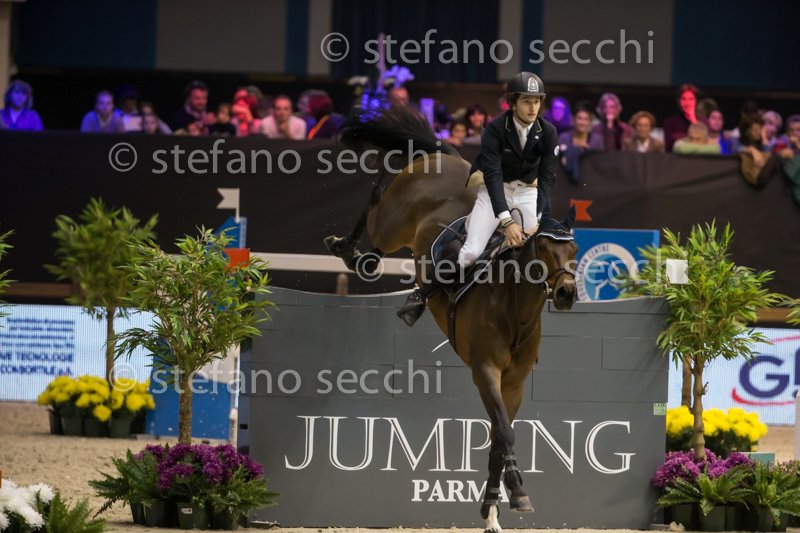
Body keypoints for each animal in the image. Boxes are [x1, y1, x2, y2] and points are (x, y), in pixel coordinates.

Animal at [326, 107, 578, 533]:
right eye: (543, 246)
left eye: (573, 249)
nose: (566, 294)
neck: (515, 309)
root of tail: (446, 158)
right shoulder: (486, 371)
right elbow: (505, 434)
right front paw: (518, 493)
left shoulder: (513, 384)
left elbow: (498, 442)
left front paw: (492, 511)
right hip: (393, 222)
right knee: (376, 203)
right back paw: (346, 247)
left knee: (375, 246)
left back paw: (364, 259)